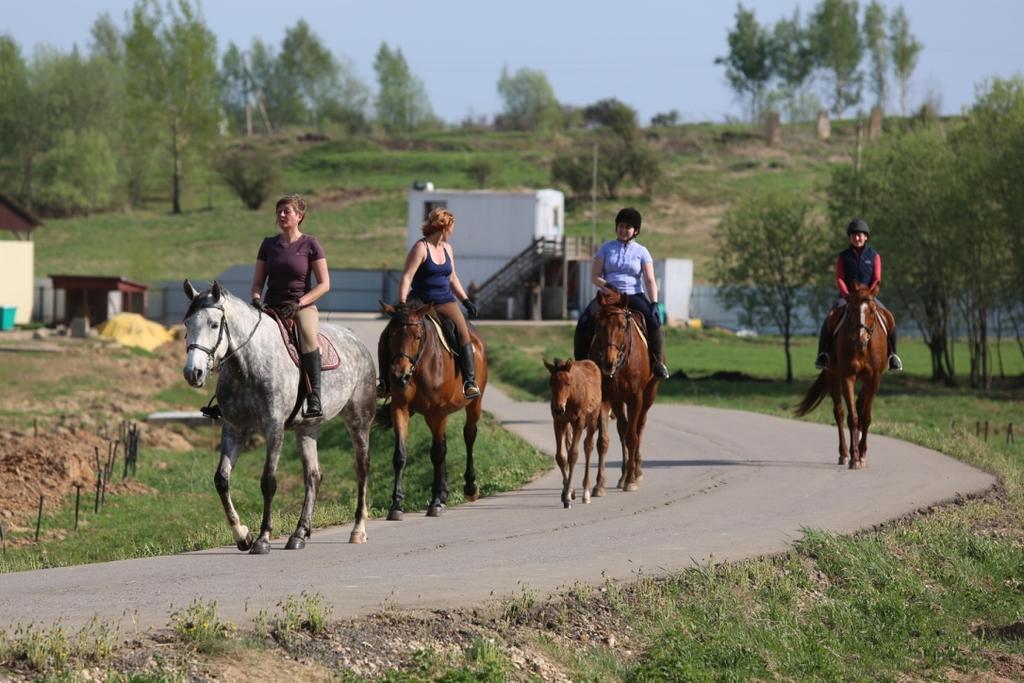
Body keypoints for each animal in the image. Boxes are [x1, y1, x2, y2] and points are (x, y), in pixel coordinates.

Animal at [182, 280, 378, 552]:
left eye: (213, 324)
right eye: (187, 324)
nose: (193, 373)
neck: (248, 366)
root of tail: (356, 340)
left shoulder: (273, 428)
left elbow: (268, 482)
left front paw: (263, 538)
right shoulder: (234, 428)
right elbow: (221, 479)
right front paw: (242, 535)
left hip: (359, 420)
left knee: (361, 468)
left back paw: (358, 530)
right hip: (308, 428)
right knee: (313, 476)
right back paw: (299, 534)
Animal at [380, 303, 487, 518]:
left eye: (418, 336)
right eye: (391, 335)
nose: (399, 376)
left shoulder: (438, 411)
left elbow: (437, 453)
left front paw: (436, 502)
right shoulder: (400, 408)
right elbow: (400, 455)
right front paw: (396, 505)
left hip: (473, 404)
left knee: (469, 435)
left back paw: (470, 488)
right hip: (432, 416)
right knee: (444, 443)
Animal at [544, 358, 606, 507]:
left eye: (568, 383)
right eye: (551, 383)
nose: (558, 409)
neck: (570, 399)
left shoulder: (579, 421)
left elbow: (573, 454)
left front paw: (567, 496)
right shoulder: (558, 421)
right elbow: (561, 456)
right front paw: (568, 492)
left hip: (592, 419)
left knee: (588, 446)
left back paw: (586, 493)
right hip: (568, 424)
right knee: (570, 445)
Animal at [589, 288, 659, 491]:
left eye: (622, 326)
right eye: (599, 325)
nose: (608, 362)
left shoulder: (636, 398)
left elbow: (632, 437)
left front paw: (631, 480)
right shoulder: (605, 397)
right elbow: (603, 440)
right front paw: (599, 484)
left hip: (649, 395)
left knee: (638, 428)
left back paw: (636, 471)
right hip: (618, 400)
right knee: (623, 428)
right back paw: (623, 474)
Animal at [794, 282, 892, 471]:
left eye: (872, 311)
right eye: (851, 310)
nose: (860, 340)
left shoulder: (873, 380)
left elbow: (865, 417)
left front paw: (862, 455)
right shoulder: (847, 377)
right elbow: (852, 417)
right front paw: (855, 458)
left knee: (859, 406)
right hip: (833, 376)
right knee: (839, 413)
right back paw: (845, 454)